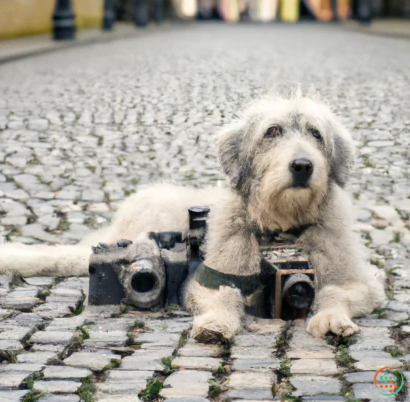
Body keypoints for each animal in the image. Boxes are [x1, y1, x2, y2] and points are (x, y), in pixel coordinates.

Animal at [0, 93, 384, 340]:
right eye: (272, 131)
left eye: (316, 133)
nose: (302, 165)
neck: (283, 227)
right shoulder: (204, 279)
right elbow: (223, 295)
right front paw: (217, 322)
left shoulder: (360, 283)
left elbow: (334, 293)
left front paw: (331, 318)